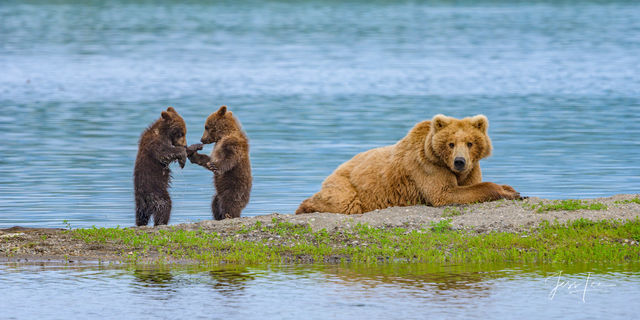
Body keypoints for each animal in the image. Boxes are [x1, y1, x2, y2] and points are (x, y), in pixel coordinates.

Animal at [298, 114, 524, 214]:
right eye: (451, 143)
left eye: (470, 143)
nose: (459, 161)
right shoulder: (427, 167)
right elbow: (445, 193)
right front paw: (509, 192)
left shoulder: (471, 169)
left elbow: (470, 184)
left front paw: (509, 188)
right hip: (346, 186)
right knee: (345, 202)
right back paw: (305, 207)